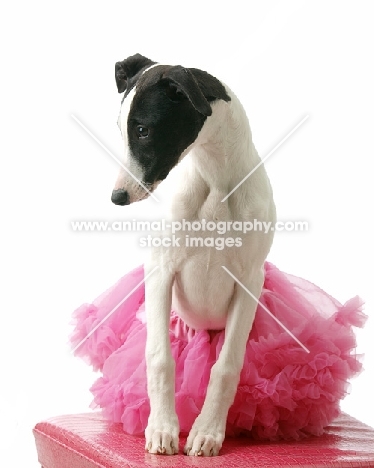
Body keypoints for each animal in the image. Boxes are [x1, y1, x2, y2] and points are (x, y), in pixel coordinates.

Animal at [111, 53, 274, 456]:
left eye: (143, 130)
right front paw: (162, 429)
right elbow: (159, 358)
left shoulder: (250, 281)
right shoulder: (160, 270)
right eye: (122, 129)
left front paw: (207, 432)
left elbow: (226, 367)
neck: (215, 181)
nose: (117, 197)